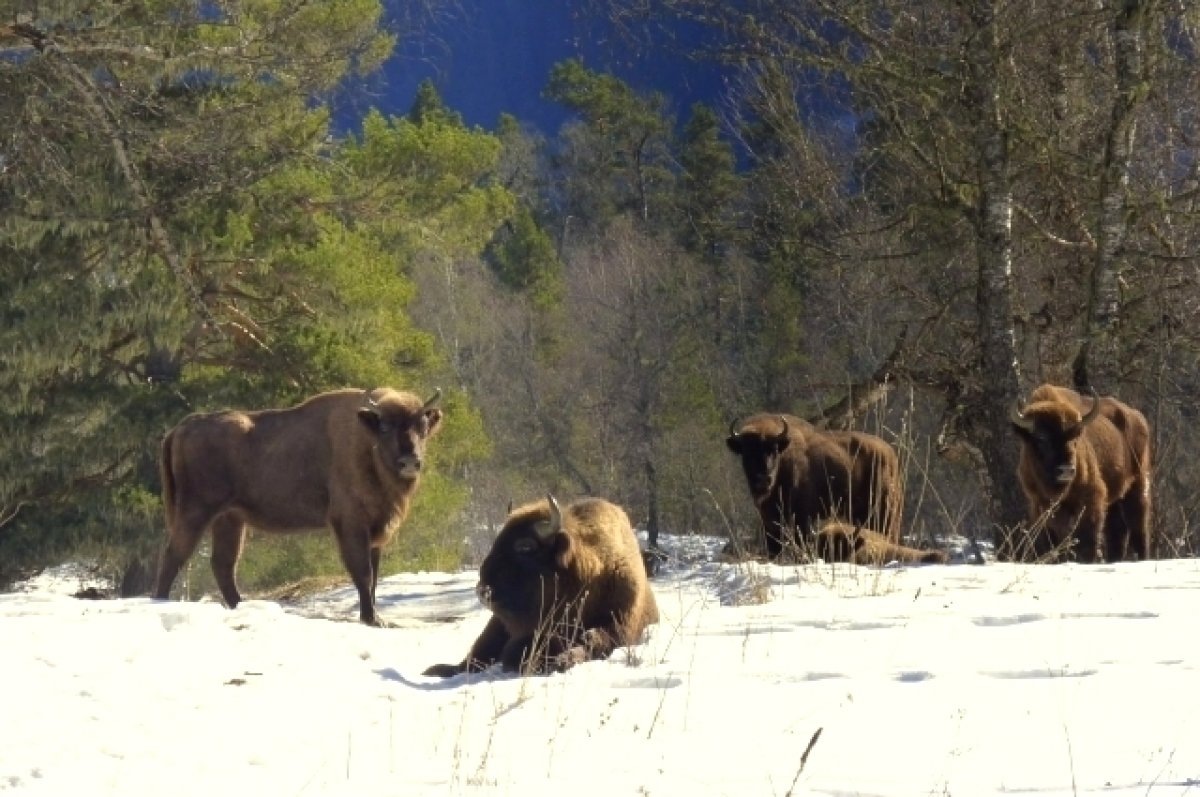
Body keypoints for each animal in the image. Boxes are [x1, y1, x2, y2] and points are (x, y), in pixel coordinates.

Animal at [153, 386, 446, 624]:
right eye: (385, 427)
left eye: (422, 426)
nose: (409, 462)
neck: (365, 438)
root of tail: (181, 428)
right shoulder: (351, 523)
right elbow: (363, 573)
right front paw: (372, 619)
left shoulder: (376, 528)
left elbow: (373, 576)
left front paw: (374, 617)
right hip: (196, 512)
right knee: (174, 555)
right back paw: (161, 602)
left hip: (230, 519)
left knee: (222, 564)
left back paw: (241, 606)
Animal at [427, 494, 662, 676]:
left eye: (525, 547)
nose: (483, 590)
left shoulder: (621, 627)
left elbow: (593, 640)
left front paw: (564, 660)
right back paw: (436, 669)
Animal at [720, 417, 902, 559]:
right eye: (747, 451)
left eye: (774, 450)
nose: (764, 479)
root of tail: (891, 455)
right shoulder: (769, 521)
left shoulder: (802, 519)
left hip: (883, 511)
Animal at [1012, 384, 1152, 559]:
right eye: (1041, 438)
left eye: (1075, 437)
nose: (1067, 470)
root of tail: (1138, 417)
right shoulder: (1039, 504)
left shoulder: (1091, 499)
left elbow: (1087, 539)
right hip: (1115, 496)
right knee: (1117, 531)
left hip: (1137, 485)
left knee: (1138, 528)